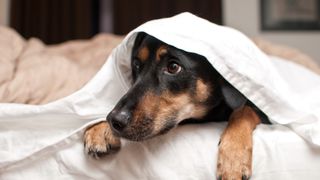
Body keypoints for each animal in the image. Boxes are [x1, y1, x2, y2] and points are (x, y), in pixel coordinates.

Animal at [84, 32, 268, 180]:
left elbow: (243, 110)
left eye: (173, 67)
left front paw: (233, 159)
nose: (114, 120)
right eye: (136, 65)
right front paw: (99, 128)